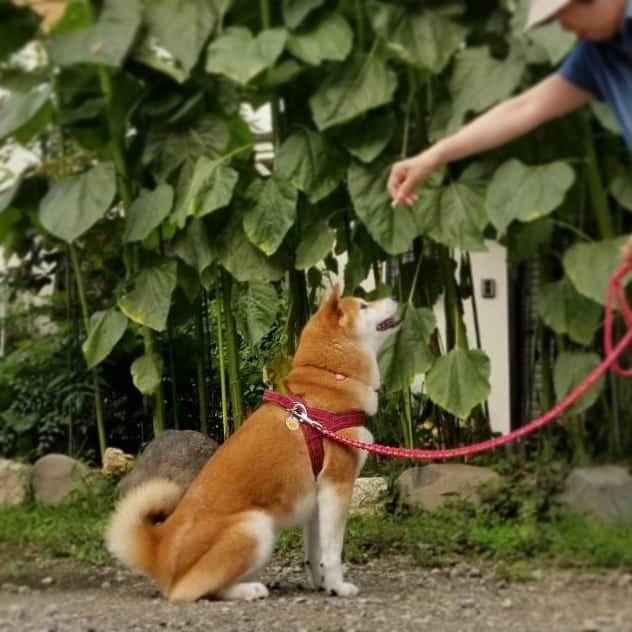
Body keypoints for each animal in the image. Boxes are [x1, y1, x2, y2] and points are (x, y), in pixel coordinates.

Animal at [105, 288, 398, 604]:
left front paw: (322, 584)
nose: (394, 297)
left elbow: (315, 552)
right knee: (195, 590)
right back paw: (249, 589)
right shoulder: (337, 485)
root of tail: (159, 549)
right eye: (364, 306)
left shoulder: (318, 498)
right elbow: (332, 553)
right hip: (256, 526)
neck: (329, 378)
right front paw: (338, 587)